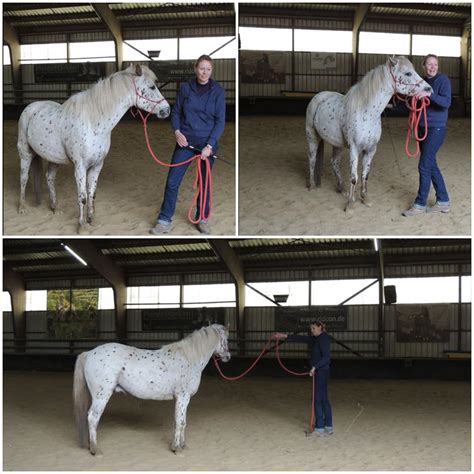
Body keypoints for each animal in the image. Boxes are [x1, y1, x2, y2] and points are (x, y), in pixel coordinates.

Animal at [17, 63, 170, 233]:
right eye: (151, 87)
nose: (167, 110)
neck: (93, 122)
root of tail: (31, 107)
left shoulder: (97, 165)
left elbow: (92, 193)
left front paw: (91, 219)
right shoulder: (80, 167)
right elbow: (83, 197)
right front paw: (81, 226)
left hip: (54, 159)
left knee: (49, 178)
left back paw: (55, 208)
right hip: (25, 154)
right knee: (24, 178)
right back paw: (22, 207)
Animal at [304, 55, 434, 211]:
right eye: (408, 73)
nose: (429, 89)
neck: (367, 112)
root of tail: (318, 97)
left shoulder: (371, 149)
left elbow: (365, 175)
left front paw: (365, 198)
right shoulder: (354, 149)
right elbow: (354, 177)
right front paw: (350, 204)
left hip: (338, 144)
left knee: (334, 162)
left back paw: (341, 188)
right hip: (312, 137)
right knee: (312, 159)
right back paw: (312, 186)